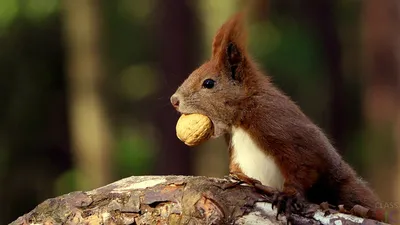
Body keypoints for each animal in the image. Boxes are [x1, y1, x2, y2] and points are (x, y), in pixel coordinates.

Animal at [170, 12, 382, 221]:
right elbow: (238, 171)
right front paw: (236, 178)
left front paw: (289, 196)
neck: (242, 116)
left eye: (209, 83)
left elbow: (304, 165)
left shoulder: (278, 126)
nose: (174, 100)